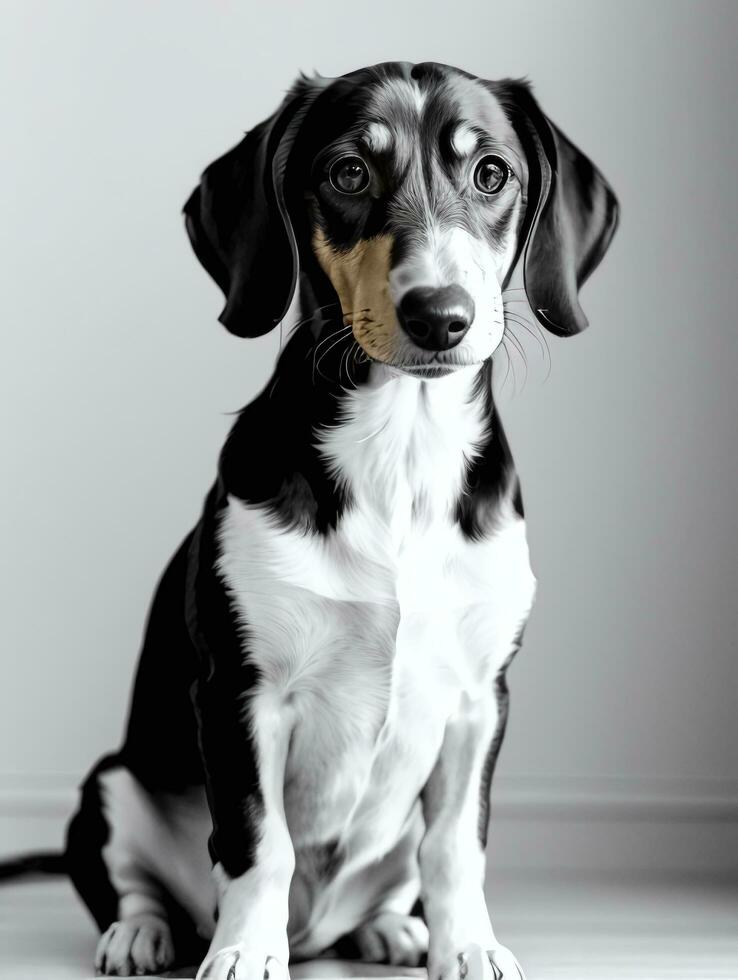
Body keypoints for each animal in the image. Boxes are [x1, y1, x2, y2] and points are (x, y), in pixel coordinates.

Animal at [54, 61, 616, 980]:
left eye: (490, 173)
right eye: (348, 173)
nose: (440, 315)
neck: (402, 457)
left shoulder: (480, 700)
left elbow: (455, 847)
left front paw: (469, 946)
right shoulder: (242, 694)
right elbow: (259, 844)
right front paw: (246, 953)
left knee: (396, 874)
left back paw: (393, 930)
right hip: (112, 784)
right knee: (137, 884)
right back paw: (145, 933)